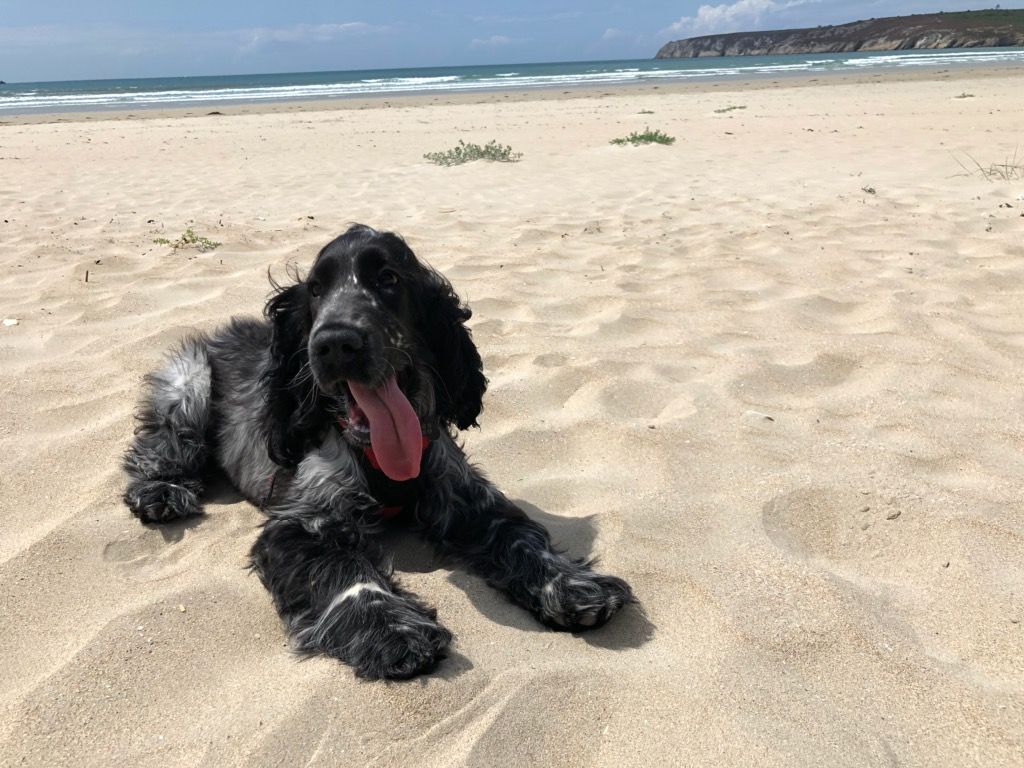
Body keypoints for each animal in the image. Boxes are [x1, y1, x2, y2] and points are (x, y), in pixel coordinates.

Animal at [119, 224, 630, 679]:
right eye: (316, 290)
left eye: (389, 279)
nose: (334, 343)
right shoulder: (303, 524)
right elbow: (346, 575)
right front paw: (391, 633)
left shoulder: (468, 498)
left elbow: (521, 535)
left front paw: (571, 586)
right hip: (189, 383)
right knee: (159, 444)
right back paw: (160, 492)